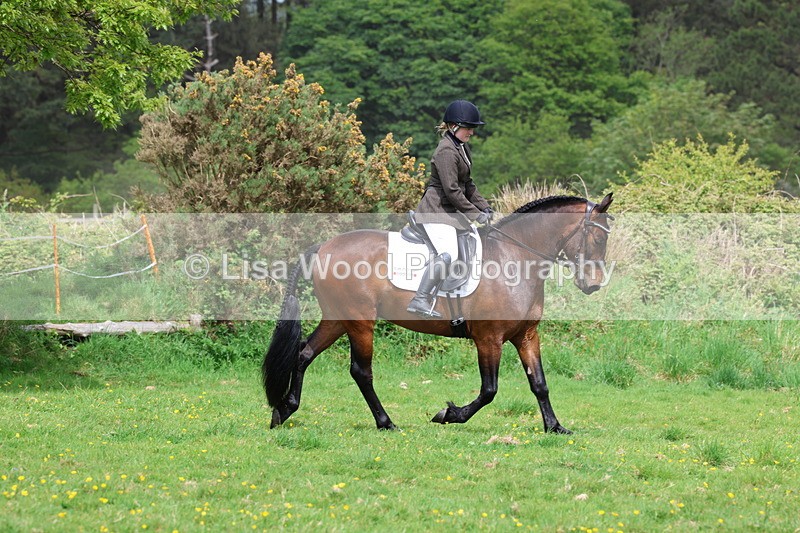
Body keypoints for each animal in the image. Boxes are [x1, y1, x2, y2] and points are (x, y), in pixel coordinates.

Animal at [262, 194, 614, 433]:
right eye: (597, 237)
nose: (594, 284)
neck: (516, 258)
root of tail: (322, 248)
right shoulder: (489, 338)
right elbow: (489, 390)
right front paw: (449, 415)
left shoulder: (525, 335)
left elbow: (539, 383)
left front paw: (555, 427)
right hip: (360, 322)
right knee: (361, 371)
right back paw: (386, 422)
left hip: (338, 318)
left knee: (304, 354)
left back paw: (284, 409)